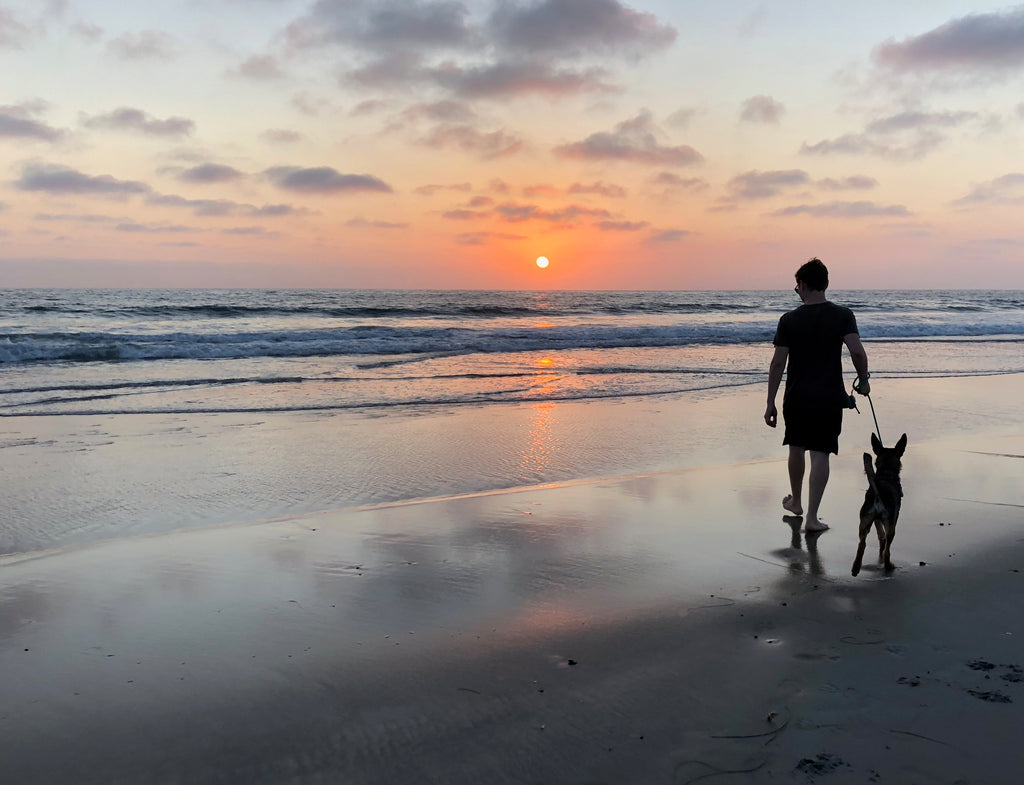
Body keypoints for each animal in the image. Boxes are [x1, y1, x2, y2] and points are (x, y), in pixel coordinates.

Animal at [851, 429, 909, 577]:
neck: (885, 474)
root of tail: (878, 494)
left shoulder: (876, 520)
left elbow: (879, 532)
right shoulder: (894, 517)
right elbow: (885, 540)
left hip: (864, 522)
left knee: (862, 543)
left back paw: (856, 568)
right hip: (891, 526)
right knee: (887, 549)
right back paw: (888, 565)